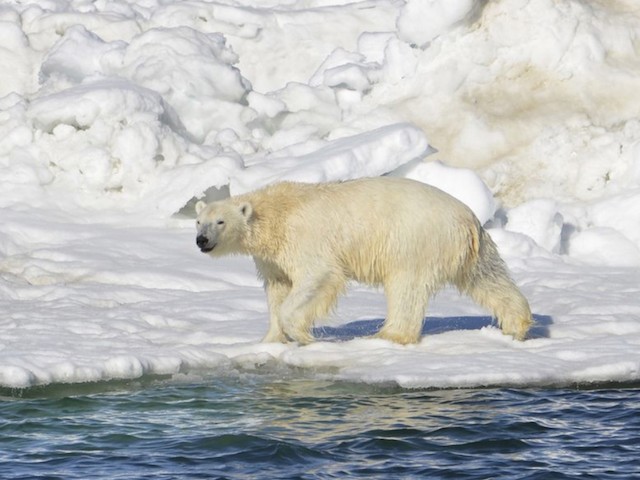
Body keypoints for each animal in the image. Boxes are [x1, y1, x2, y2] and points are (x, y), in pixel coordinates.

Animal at [195, 177, 532, 345]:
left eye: (220, 222)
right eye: (199, 221)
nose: (201, 240)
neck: (276, 213)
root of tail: (467, 219)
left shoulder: (305, 239)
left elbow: (318, 277)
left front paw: (302, 335)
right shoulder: (273, 257)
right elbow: (277, 289)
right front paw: (270, 339)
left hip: (414, 240)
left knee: (406, 288)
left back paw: (387, 335)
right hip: (471, 249)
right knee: (488, 278)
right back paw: (517, 325)